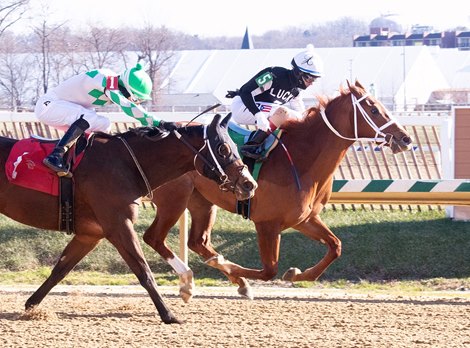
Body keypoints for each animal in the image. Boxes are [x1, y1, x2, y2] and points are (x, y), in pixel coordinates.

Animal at [0, 114, 258, 324]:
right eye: (223, 148)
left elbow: (60, 270)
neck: (126, 164)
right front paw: (169, 314)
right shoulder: (119, 226)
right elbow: (144, 271)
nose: (249, 184)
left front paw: (31, 306)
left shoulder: (90, 234)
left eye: (234, 145)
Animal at [145, 80, 414, 300]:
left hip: (202, 202)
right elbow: (269, 270)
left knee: (198, 242)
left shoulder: (304, 219)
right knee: (154, 237)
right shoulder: (267, 223)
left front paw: (295, 274)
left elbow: (335, 246)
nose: (405, 139)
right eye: (374, 110)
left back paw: (227, 280)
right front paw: (238, 270)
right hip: (174, 199)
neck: (301, 158)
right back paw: (193, 281)